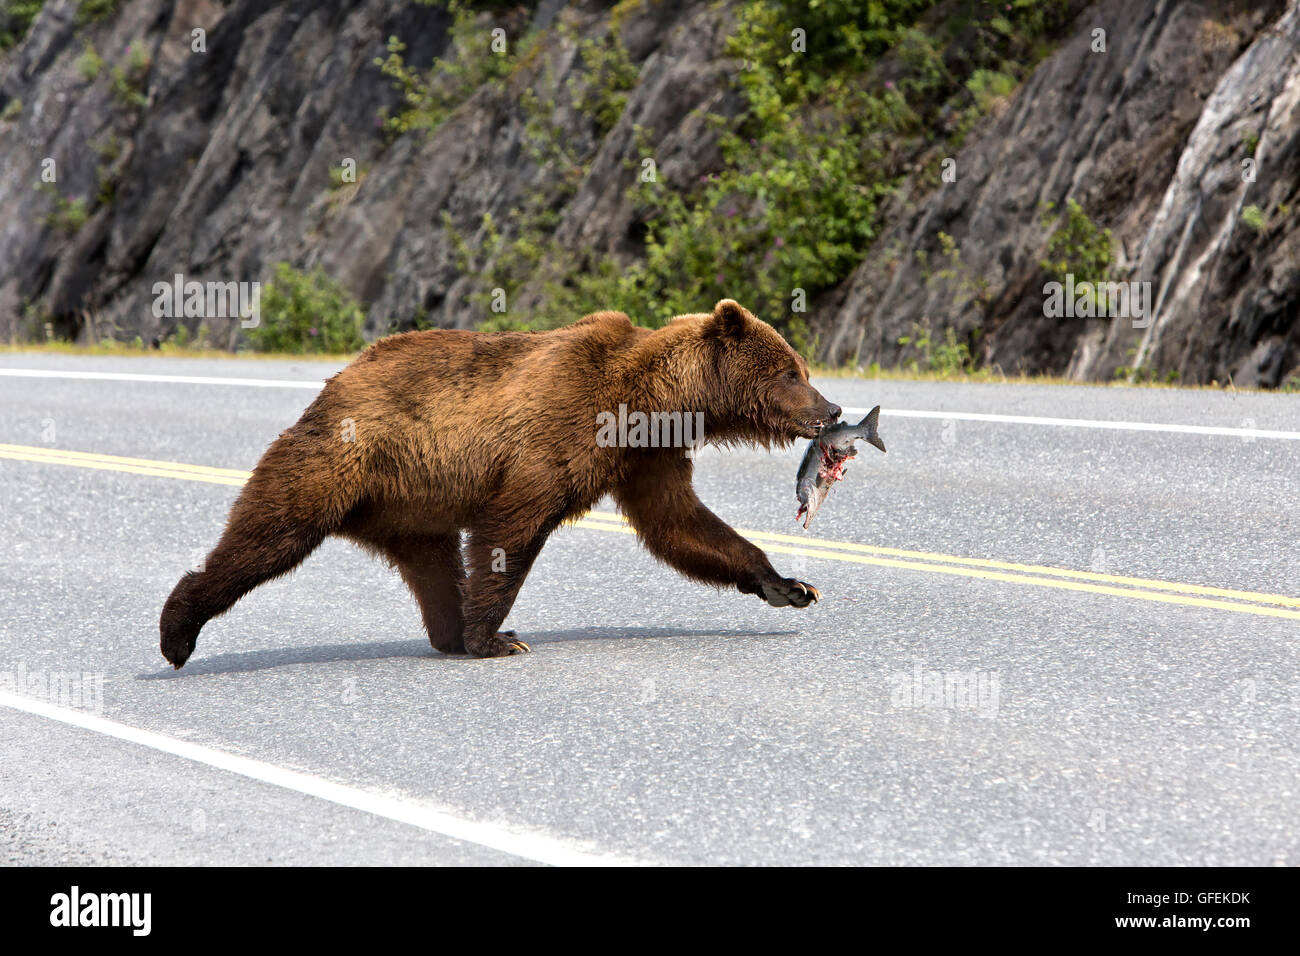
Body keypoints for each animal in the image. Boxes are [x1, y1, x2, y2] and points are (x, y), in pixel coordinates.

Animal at [159, 299, 842, 665]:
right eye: (792, 371)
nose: (832, 408)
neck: (651, 403)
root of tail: (336, 381)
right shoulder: (561, 432)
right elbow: (511, 527)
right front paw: (499, 638)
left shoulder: (645, 459)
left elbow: (681, 524)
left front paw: (789, 585)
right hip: (339, 462)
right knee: (268, 534)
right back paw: (177, 631)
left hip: (412, 506)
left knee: (432, 568)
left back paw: (448, 634)